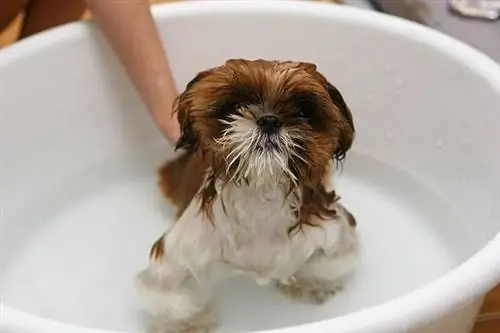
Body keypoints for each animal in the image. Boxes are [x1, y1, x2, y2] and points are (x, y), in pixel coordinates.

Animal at [135, 59, 358, 332]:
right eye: (235, 106)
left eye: (304, 110)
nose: (269, 120)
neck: (261, 196)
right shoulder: (177, 255)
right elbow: (172, 296)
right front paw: (186, 324)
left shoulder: (331, 230)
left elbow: (324, 264)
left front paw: (310, 283)